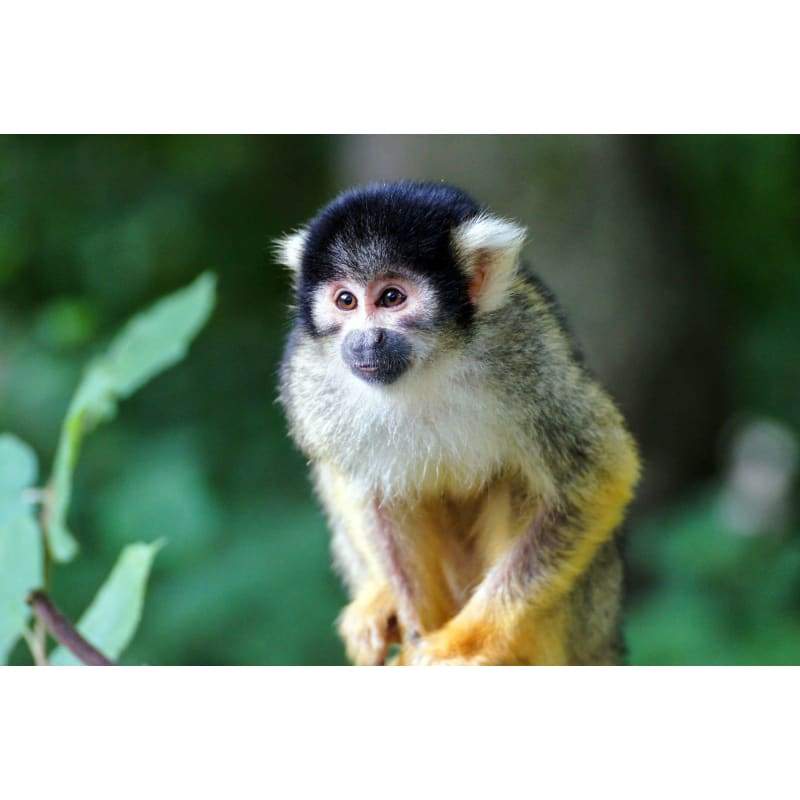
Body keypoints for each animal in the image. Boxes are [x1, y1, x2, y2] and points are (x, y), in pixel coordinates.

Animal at [276, 181, 640, 665]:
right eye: (345, 301)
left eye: (392, 297)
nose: (365, 340)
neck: (427, 366)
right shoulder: (307, 375)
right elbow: (374, 495)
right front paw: (416, 636)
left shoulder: (526, 347)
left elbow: (597, 473)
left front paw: (464, 641)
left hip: (592, 617)